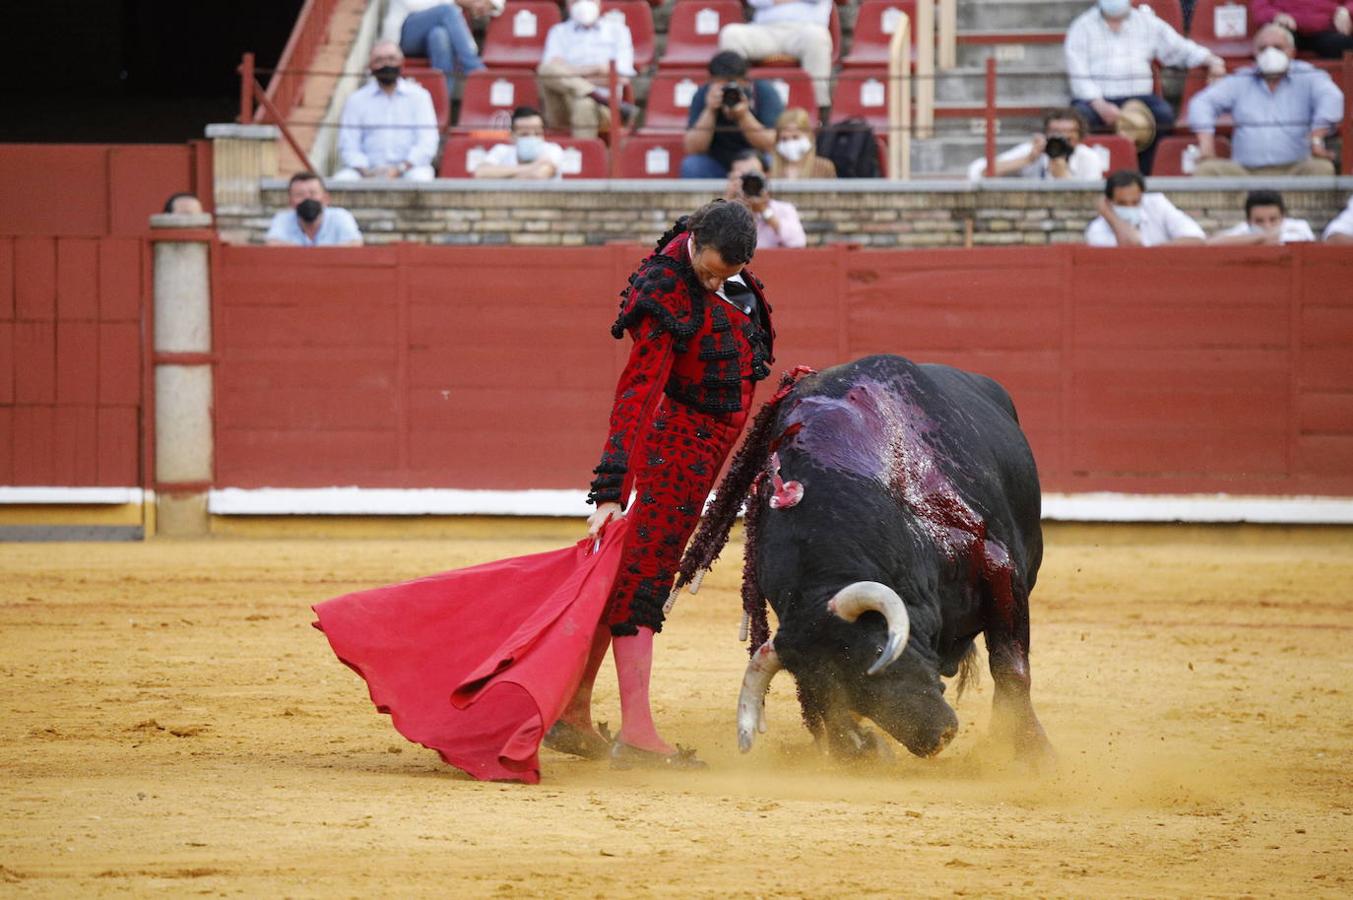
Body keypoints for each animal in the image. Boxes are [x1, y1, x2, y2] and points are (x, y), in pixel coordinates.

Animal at [676, 354, 1055, 763]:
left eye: (878, 653)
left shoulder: (998, 567)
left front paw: (1030, 751)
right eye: (820, 688)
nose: (935, 737)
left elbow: (1010, 665)